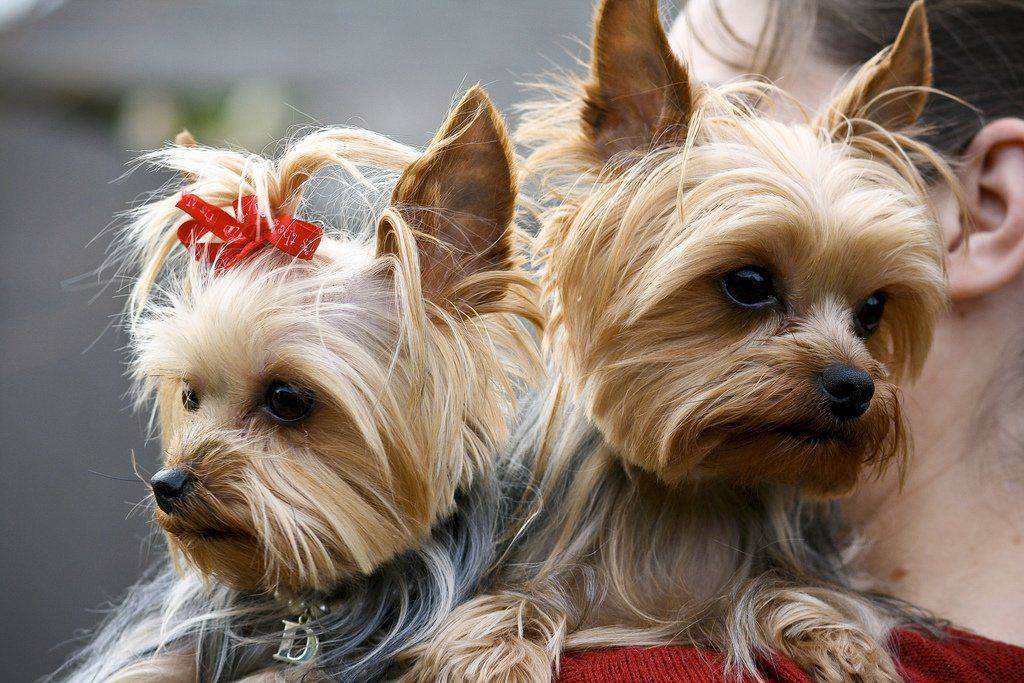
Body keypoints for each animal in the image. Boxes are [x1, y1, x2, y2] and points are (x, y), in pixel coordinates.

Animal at [405, 1, 959, 680]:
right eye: (748, 283)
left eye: (874, 309)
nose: (855, 387)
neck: (688, 499)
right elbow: (517, 602)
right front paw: (493, 653)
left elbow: (790, 594)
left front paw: (842, 641)